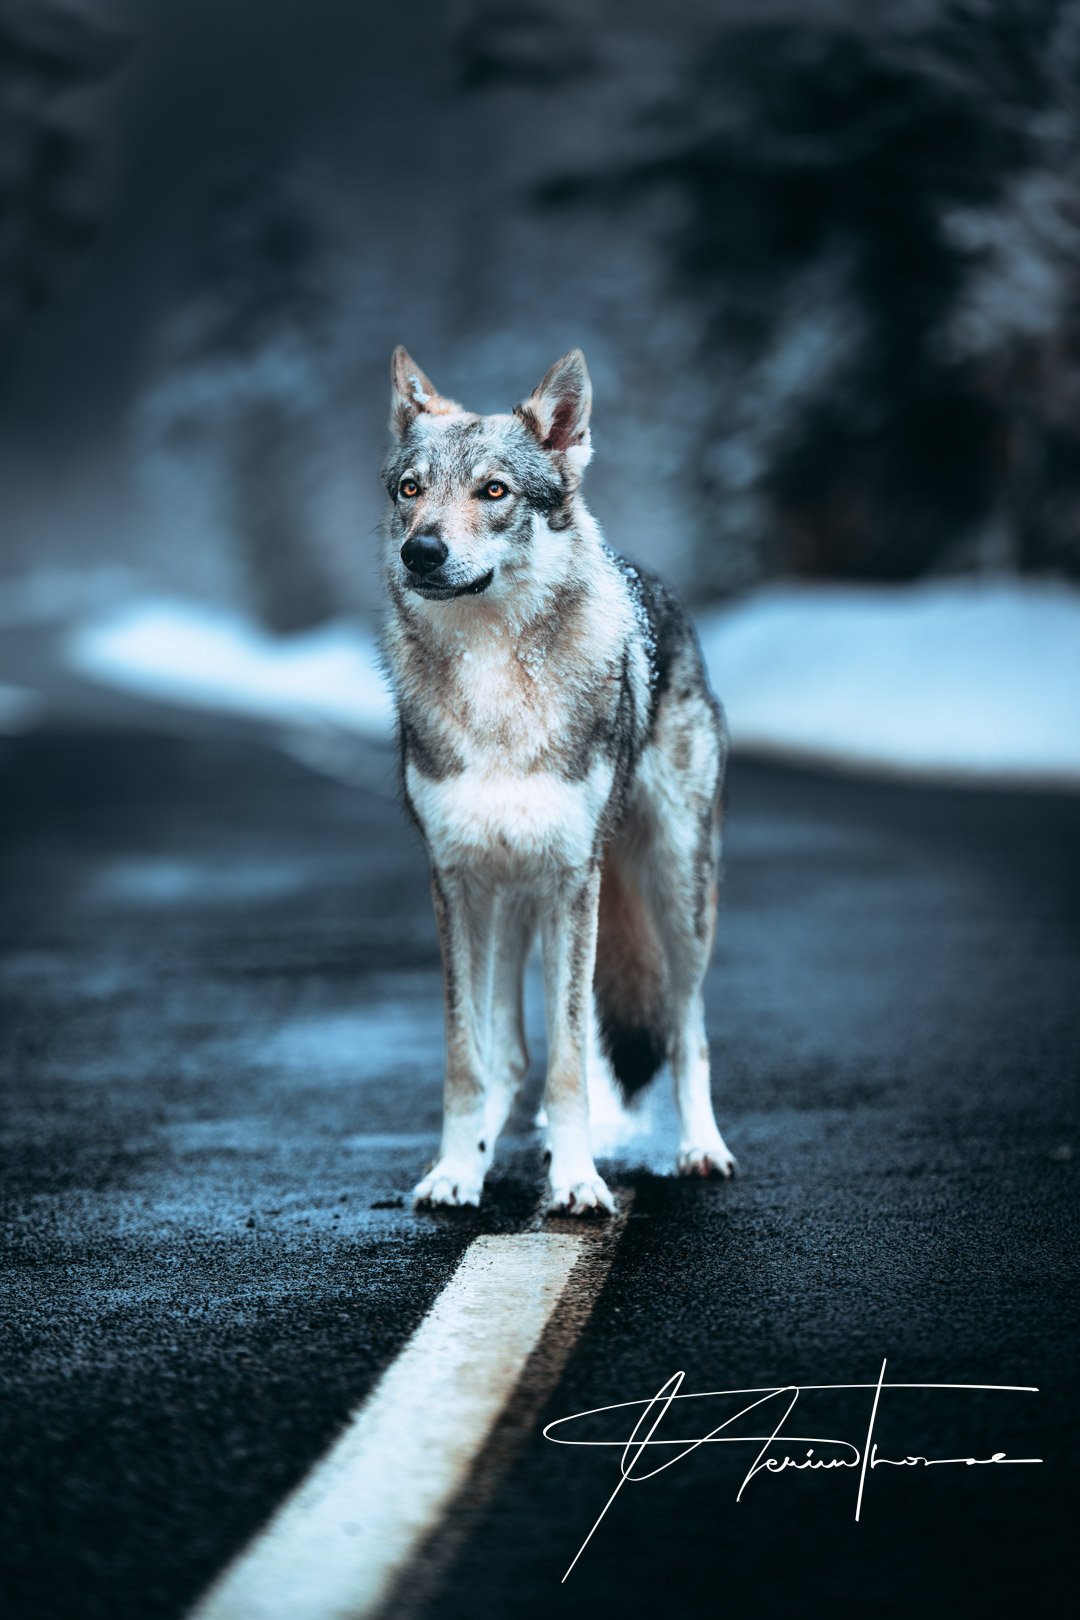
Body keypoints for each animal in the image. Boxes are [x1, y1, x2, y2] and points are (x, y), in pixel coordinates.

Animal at [380, 345, 737, 1215]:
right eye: (411, 490)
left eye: (494, 491)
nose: (421, 553)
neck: (495, 686)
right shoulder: (454, 882)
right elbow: (467, 1060)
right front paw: (455, 1170)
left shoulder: (576, 881)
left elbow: (573, 1063)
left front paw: (577, 1183)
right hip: (509, 901)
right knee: (507, 1055)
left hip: (676, 891)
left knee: (688, 1031)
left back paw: (700, 1148)